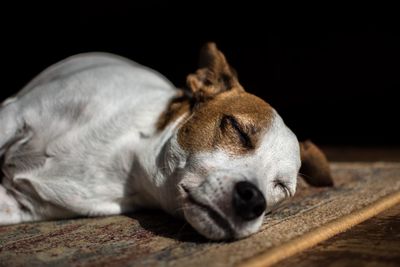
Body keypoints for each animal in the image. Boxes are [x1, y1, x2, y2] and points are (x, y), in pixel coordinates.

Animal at [0, 42, 332, 241]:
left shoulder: (19, 204)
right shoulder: (15, 115)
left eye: (282, 188)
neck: (124, 157)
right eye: (237, 129)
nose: (254, 200)